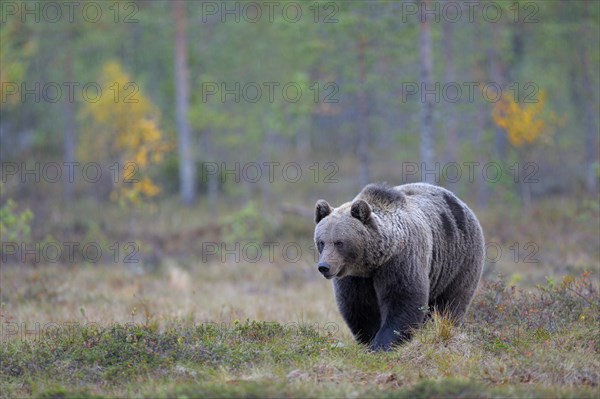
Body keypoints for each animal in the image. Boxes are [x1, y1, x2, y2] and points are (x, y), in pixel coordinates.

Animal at [316, 183, 486, 352]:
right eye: (321, 242)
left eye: (339, 242)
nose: (324, 266)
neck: (372, 263)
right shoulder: (354, 277)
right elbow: (359, 306)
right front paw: (370, 341)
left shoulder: (400, 261)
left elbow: (403, 298)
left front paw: (383, 343)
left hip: (458, 260)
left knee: (451, 302)